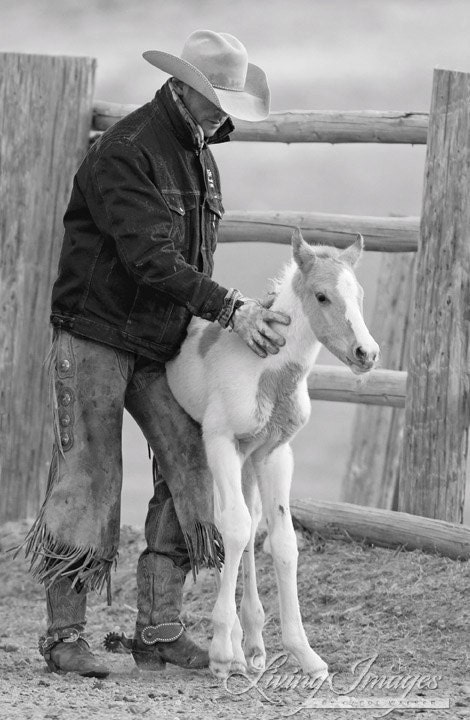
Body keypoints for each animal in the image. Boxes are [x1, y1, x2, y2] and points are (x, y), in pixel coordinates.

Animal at [166, 228, 379, 680]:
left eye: (359, 294)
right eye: (321, 296)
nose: (366, 354)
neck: (264, 370)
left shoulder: (275, 453)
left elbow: (281, 541)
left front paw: (306, 655)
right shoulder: (221, 442)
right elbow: (231, 527)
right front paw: (221, 652)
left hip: (250, 460)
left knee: (251, 524)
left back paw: (254, 644)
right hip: (221, 453)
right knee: (232, 523)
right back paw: (235, 646)